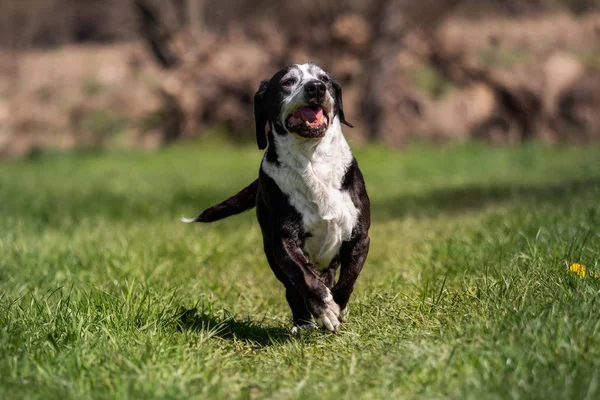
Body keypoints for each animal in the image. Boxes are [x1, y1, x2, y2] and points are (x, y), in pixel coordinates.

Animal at [183, 62, 370, 332]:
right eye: (288, 82)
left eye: (324, 78)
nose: (316, 87)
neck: (313, 162)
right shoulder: (282, 241)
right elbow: (303, 278)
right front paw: (324, 309)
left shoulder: (360, 238)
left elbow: (348, 280)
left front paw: (337, 307)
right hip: (272, 255)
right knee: (293, 290)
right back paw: (304, 323)